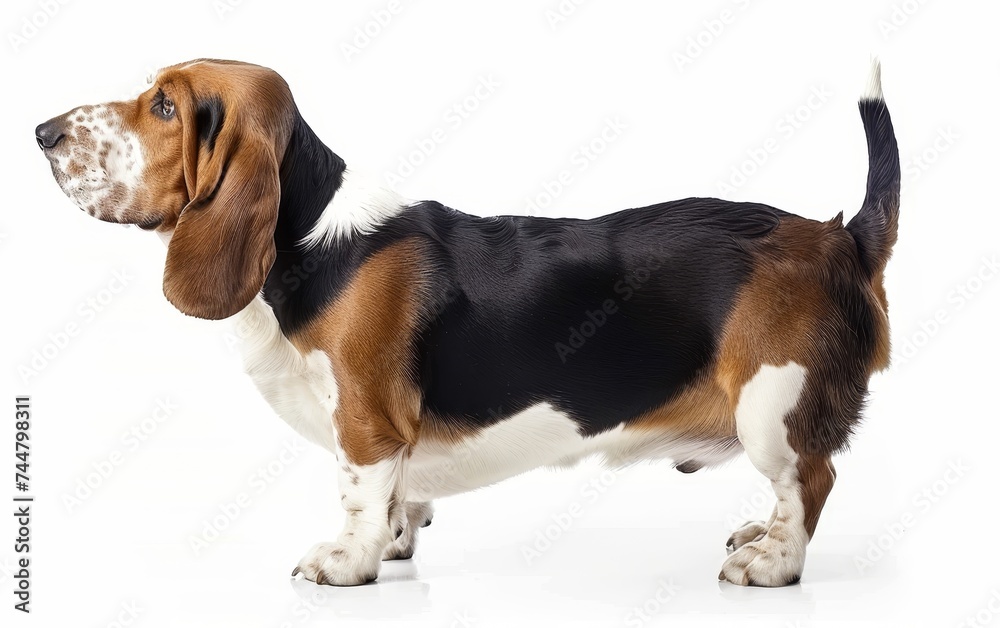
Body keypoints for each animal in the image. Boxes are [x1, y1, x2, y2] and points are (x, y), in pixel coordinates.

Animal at [37, 59, 900, 588]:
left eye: (165, 106)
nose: (43, 132)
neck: (311, 238)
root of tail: (839, 236)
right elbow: (397, 497)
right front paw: (396, 541)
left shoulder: (366, 421)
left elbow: (358, 491)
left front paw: (347, 562)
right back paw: (759, 535)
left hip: (769, 405)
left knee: (812, 481)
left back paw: (773, 564)